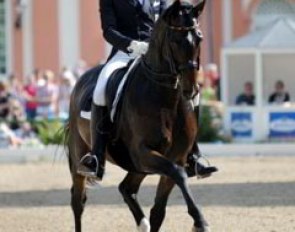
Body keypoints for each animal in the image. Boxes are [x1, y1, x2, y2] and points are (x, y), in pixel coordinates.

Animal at [66, 0, 210, 231]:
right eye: (175, 40)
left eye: (199, 37)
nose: (191, 89)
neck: (165, 100)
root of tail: (81, 80)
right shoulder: (143, 152)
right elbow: (178, 175)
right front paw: (200, 220)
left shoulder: (175, 156)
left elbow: (160, 209)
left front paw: (197, 220)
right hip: (81, 159)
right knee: (78, 202)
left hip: (137, 166)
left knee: (126, 188)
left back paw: (142, 222)